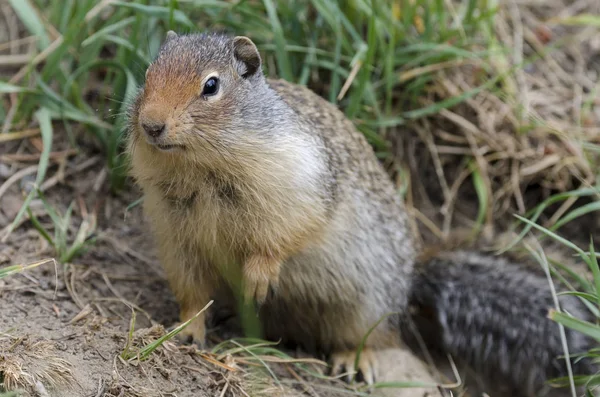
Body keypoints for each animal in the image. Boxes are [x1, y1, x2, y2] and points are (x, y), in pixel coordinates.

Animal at [127, 32, 596, 394]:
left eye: (211, 86)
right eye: (148, 75)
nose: (151, 125)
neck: (202, 168)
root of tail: (410, 284)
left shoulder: (300, 182)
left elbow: (287, 234)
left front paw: (259, 277)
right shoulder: (177, 238)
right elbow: (192, 294)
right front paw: (183, 331)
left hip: (364, 303)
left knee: (377, 337)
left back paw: (356, 359)